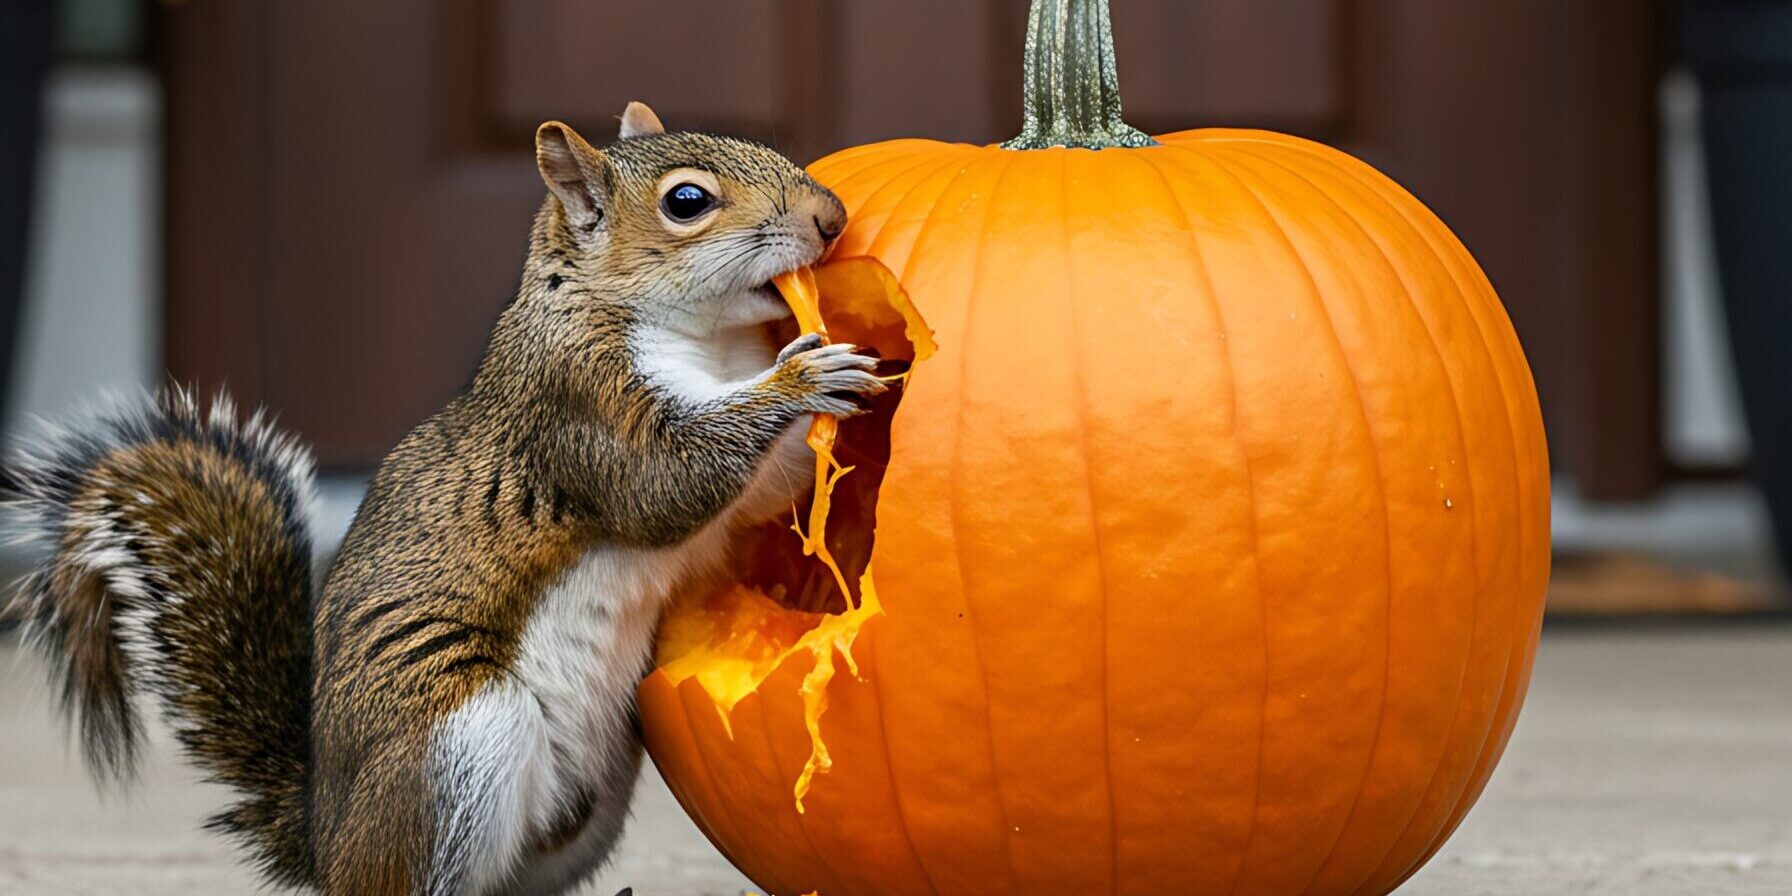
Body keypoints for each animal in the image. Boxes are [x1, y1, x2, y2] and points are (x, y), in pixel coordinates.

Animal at [2, 101, 882, 895]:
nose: (831, 219)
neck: (708, 340)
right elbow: (665, 480)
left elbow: (762, 491)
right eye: (688, 201)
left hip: (593, 794)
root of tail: (328, 843)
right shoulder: (577, 405)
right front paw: (802, 381)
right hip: (456, 744)